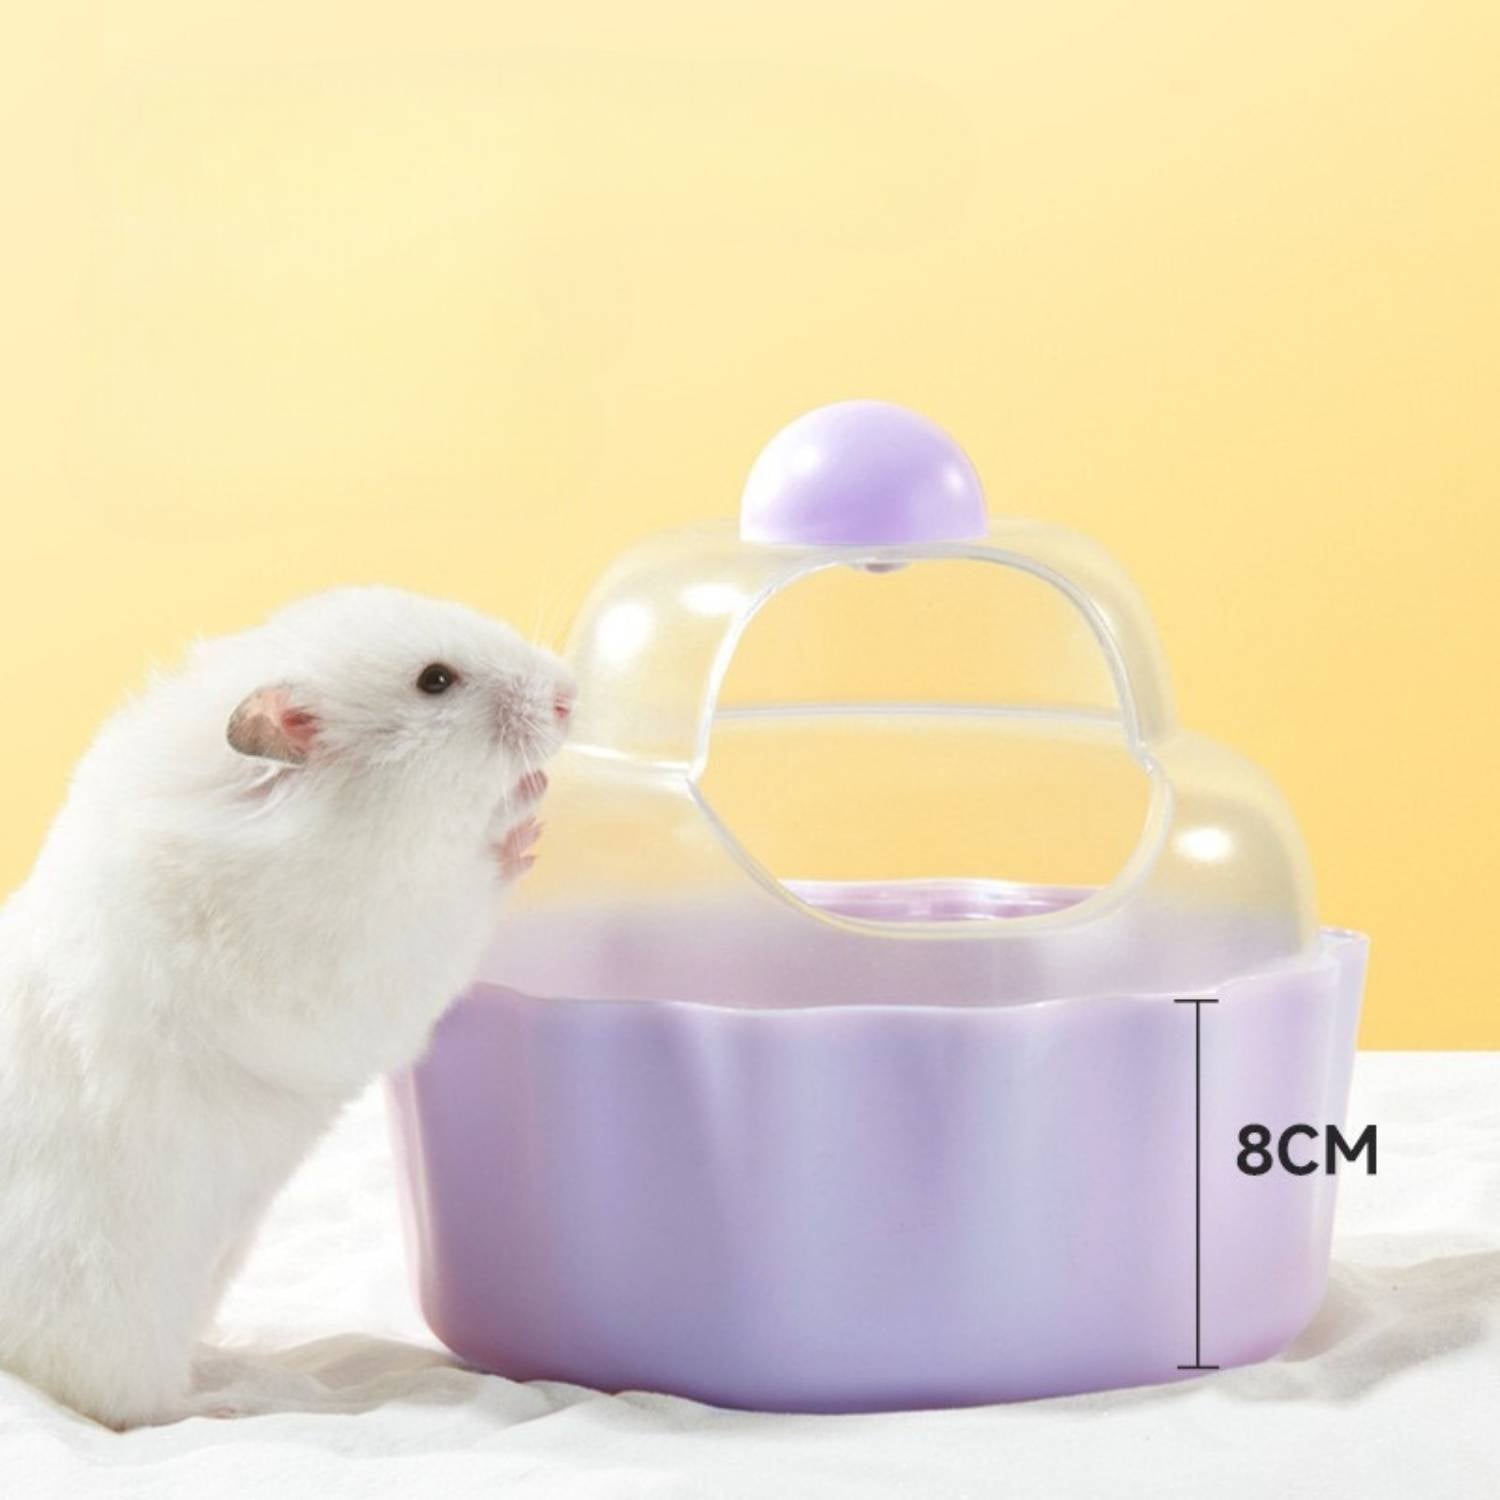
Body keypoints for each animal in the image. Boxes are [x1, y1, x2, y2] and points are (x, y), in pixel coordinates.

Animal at [0, 586, 574, 1428]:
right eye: (435, 682)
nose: (572, 697)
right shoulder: (368, 948)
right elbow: (467, 891)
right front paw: (526, 817)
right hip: (111, 1306)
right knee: (120, 1403)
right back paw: (230, 1398)